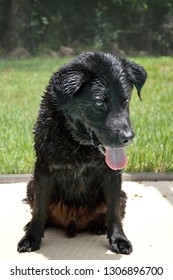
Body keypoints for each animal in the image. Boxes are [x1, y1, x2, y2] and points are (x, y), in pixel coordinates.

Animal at [17, 52, 147, 254]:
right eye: (99, 102)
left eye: (125, 101)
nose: (128, 137)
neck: (77, 143)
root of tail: (73, 225)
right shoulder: (44, 171)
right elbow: (39, 211)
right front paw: (31, 238)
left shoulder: (112, 175)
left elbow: (113, 213)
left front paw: (119, 239)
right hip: (31, 184)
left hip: (123, 195)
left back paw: (100, 226)